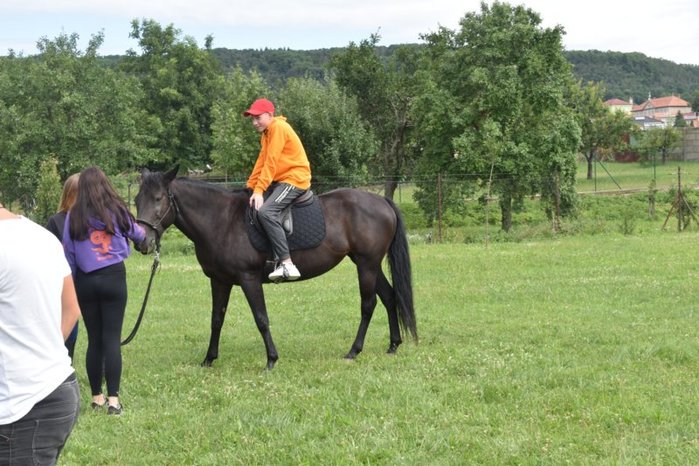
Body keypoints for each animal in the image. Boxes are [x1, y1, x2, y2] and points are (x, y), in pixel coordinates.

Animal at [134, 166, 417, 369]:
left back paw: (354, 350)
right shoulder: (219, 280)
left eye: (158, 198)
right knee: (390, 297)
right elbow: (216, 320)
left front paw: (271, 359)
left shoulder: (248, 279)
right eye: (136, 200)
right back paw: (393, 344)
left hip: (367, 264)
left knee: (368, 305)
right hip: (368, 264)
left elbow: (261, 318)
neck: (221, 220)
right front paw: (209, 359)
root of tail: (382, 202)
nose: (142, 242)